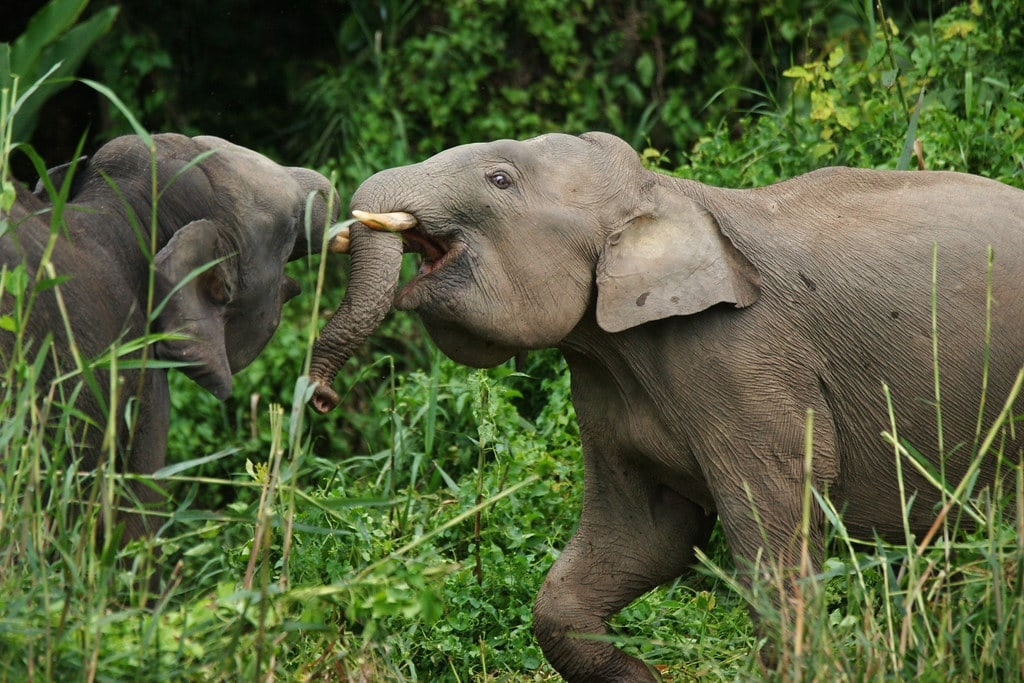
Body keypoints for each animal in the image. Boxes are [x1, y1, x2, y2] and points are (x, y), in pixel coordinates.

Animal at [307, 131, 1024, 679]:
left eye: (501, 179)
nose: (319, 397)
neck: (663, 190)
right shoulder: (604, 378)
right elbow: (642, 535)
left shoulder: (744, 360)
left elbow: (773, 527)